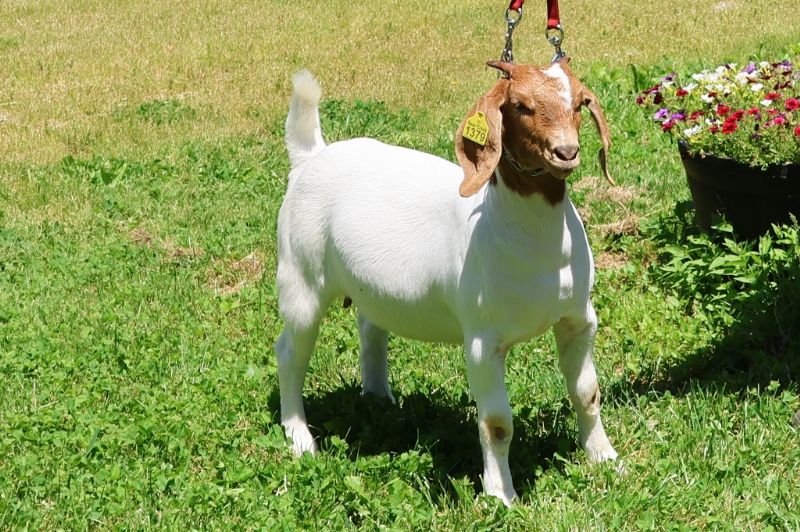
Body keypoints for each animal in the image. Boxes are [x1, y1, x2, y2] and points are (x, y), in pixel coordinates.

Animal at [275, 59, 618, 506]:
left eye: (579, 103)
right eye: (521, 106)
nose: (566, 152)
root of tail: (310, 156)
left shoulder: (579, 318)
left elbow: (587, 393)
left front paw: (604, 458)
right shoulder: (483, 340)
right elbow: (496, 423)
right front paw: (501, 495)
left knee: (371, 326)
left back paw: (380, 400)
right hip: (300, 274)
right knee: (290, 351)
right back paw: (300, 438)